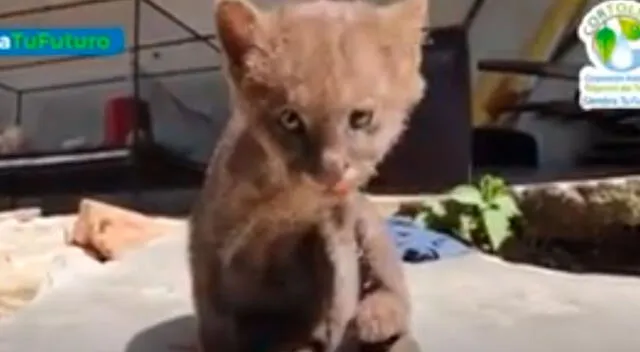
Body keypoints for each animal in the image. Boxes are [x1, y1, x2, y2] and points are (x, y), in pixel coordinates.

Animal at [189, 0, 430, 350]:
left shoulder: (336, 228)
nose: (331, 169)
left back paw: (376, 319)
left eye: (360, 117)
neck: (290, 203)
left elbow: (341, 300)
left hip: (368, 223)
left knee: (394, 289)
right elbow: (214, 318)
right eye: (290, 119)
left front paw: (339, 333)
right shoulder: (211, 236)